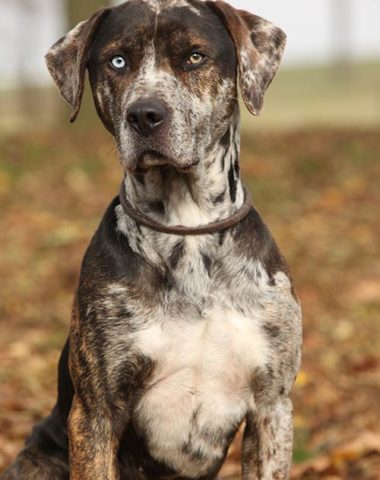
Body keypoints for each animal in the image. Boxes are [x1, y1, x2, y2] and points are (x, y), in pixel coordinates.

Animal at [0, 0, 302, 480]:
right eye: (118, 61)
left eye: (194, 57)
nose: (145, 114)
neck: (187, 228)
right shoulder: (97, 412)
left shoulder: (272, 405)